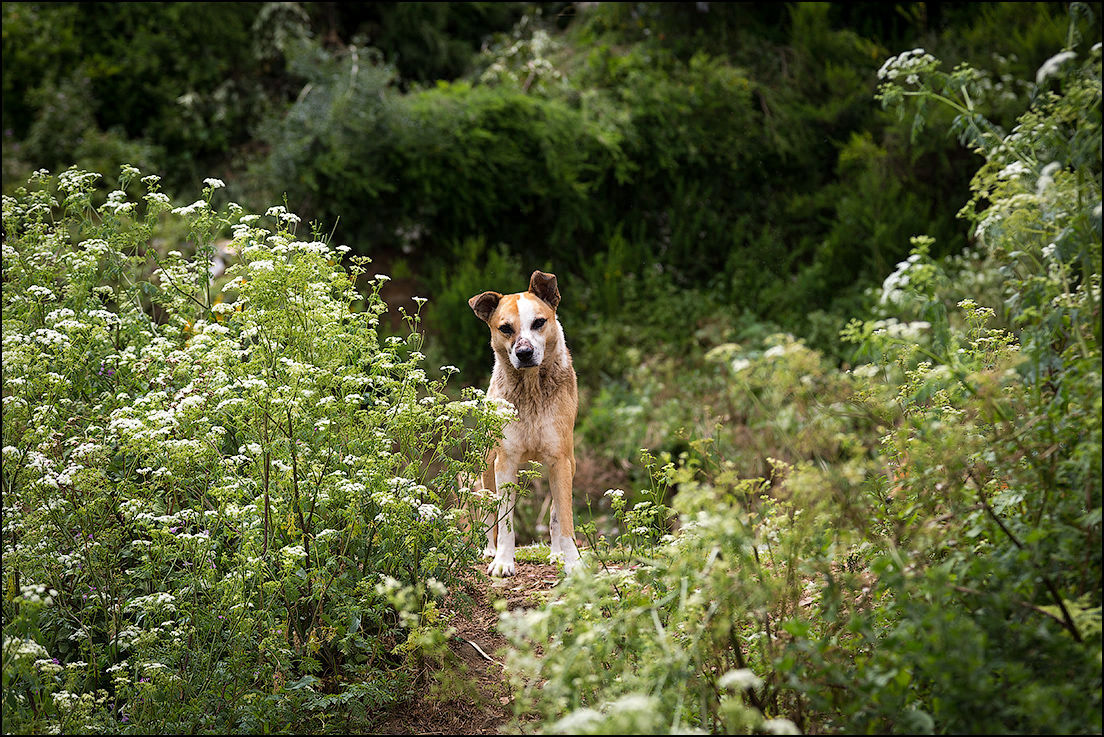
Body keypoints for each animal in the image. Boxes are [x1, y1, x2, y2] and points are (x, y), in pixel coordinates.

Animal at [470, 269, 582, 573]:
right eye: (505, 328)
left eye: (539, 322)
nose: (524, 352)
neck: (531, 391)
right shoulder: (505, 461)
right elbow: (505, 519)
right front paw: (502, 562)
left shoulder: (560, 460)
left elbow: (563, 518)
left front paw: (572, 562)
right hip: (486, 464)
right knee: (488, 510)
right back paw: (488, 550)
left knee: (555, 512)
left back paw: (556, 554)